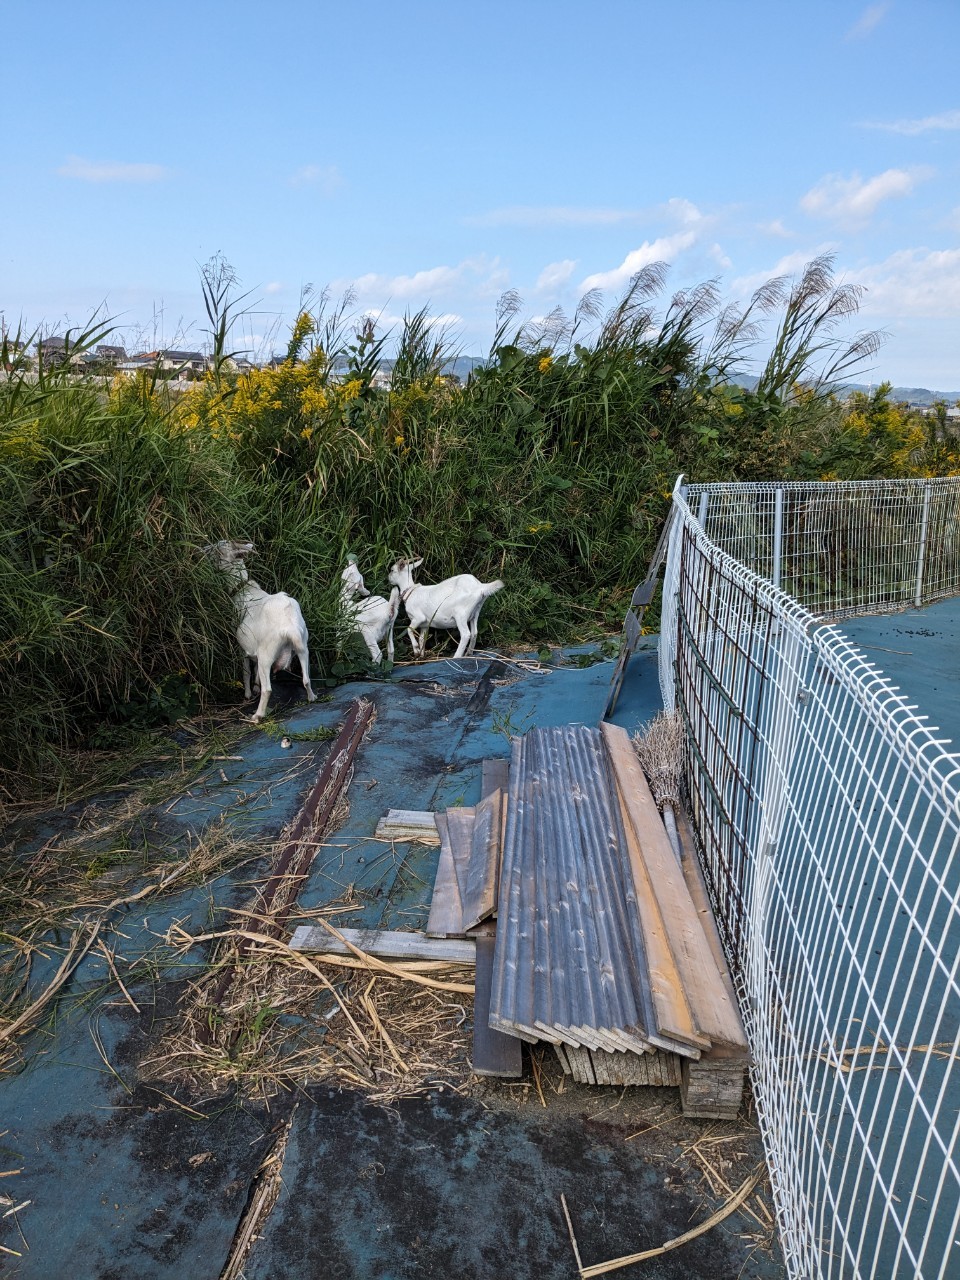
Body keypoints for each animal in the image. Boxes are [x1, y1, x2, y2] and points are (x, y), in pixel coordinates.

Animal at [206, 537, 317, 721]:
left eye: (218, 550)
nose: (203, 549)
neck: (242, 589)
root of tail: (291, 627)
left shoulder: (242, 645)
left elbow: (246, 670)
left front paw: (248, 694)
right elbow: (255, 667)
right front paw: (255, 687)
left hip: (267, 653)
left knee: (268, 689)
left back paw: (257, 716)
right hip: (303, 647)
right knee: (306, 678)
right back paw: (311, 697)